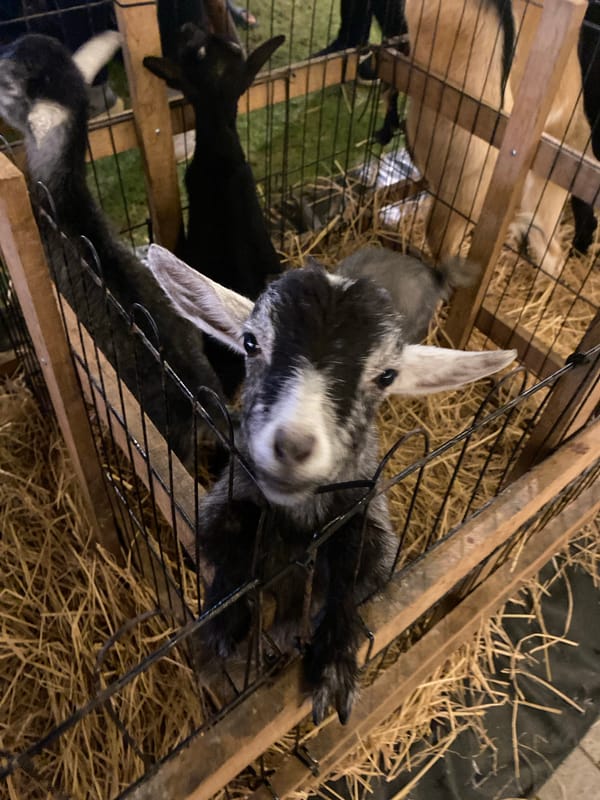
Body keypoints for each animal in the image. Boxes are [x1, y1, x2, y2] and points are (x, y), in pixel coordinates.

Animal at [147, 242, 516, 724]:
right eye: (250, 342)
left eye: (386, 376)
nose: (293, 444)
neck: (298, 519)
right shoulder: (227, 494)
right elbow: (229, 534)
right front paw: (227, 626)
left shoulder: (370, 516)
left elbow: (355, 568)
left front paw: (332, 665)